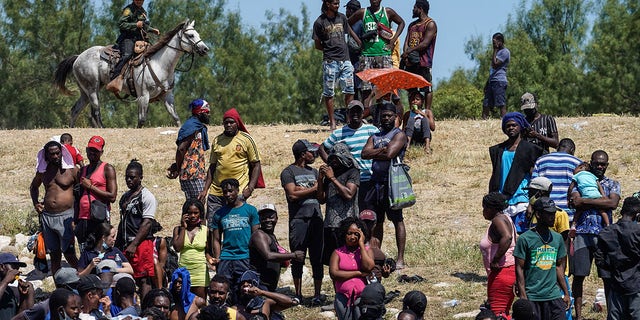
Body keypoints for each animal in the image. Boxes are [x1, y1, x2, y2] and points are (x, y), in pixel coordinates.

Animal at [54, 19, 209, 127]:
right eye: (191, 35)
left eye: (198, 34)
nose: (205, 49)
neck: (160, 64)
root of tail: (78, 57)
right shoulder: (143, 96)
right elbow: (141, 120)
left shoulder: (167, 96)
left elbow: (176, 118)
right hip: (92, 88)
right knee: (95, 112)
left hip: (85, 92)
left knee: (75, 110)